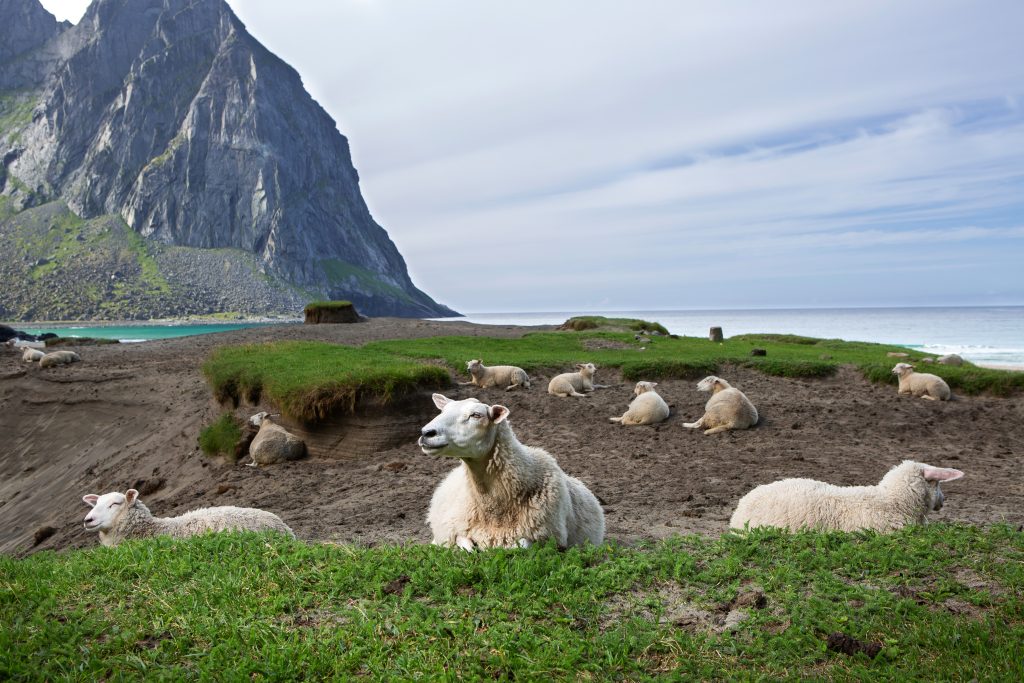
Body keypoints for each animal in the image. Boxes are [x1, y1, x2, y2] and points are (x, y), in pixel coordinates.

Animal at [417, 395, 602, 548]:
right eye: (443, 411)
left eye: (476, 415)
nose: (426, 433)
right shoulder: (454, 527)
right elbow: (463, 544)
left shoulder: (550, 539)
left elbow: (521, 545)